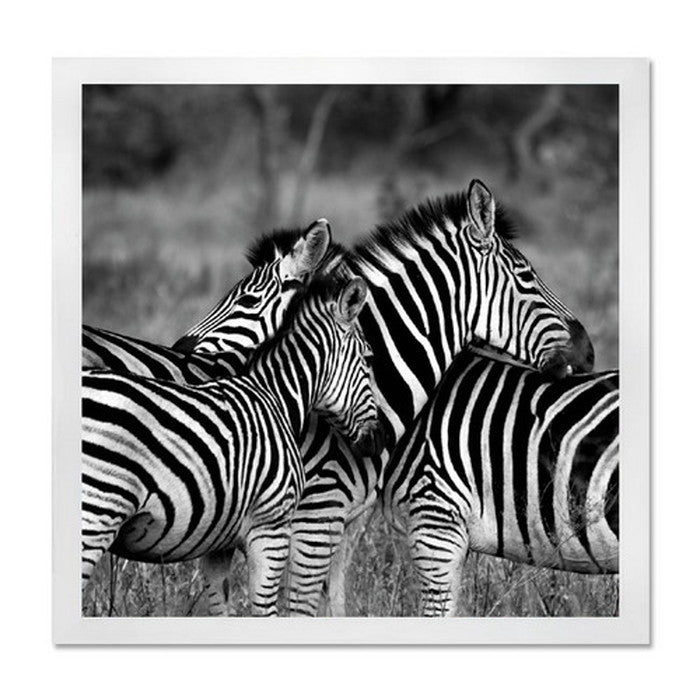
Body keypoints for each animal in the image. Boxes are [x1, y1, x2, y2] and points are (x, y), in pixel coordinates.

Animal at [82, 270, 384, 616]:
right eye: (369, 359)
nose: (378, 440)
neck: (275, 397)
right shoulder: (271, 526)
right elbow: (265, 610)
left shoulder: (217, 541)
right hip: (97, 512)